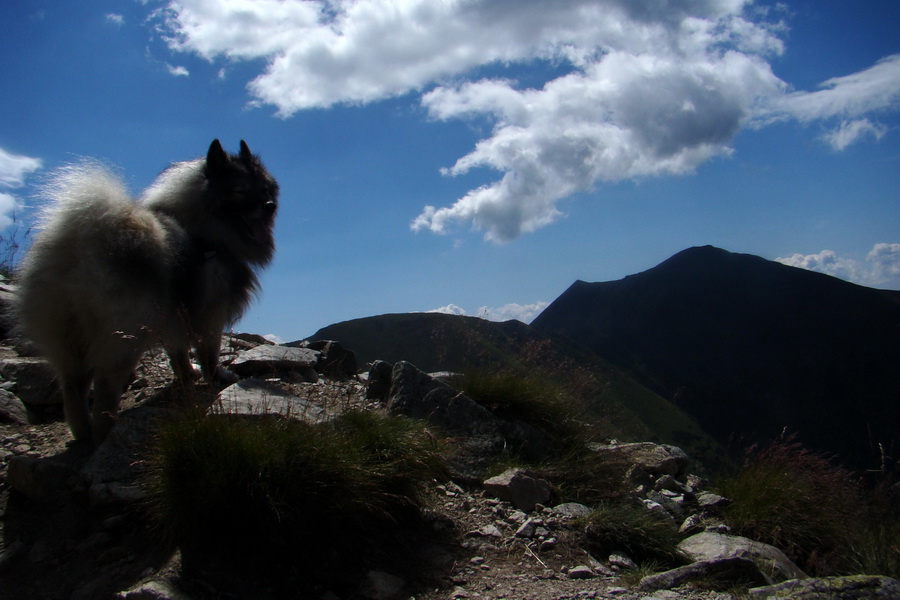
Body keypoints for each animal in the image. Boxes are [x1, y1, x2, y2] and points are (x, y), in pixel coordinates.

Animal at [14, 138, 278, 442]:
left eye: (265, 189)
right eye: (240, 191)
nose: (270, 206)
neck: (203, 227)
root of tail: (77, 247)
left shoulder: (174, 316)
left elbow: (178, 352)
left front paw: (187, 376)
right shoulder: (211, 313)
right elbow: (208, 353)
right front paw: (217, 378)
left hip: (68, 339)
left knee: (73, 385)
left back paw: (82, 433)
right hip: (125, 336)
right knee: (105, 384)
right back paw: (105, 429)